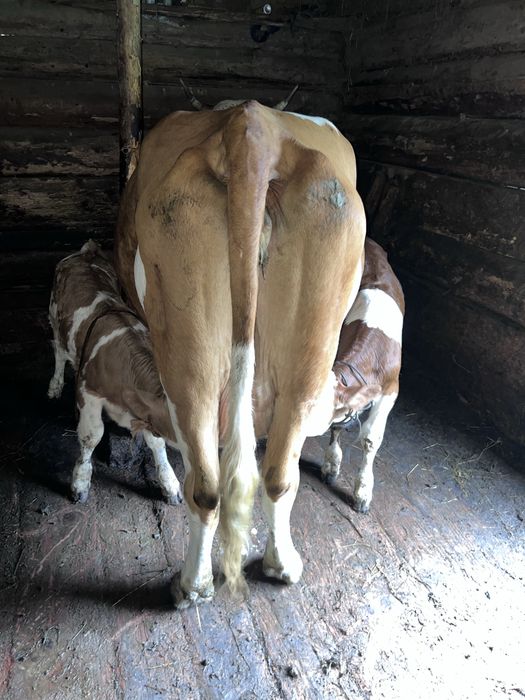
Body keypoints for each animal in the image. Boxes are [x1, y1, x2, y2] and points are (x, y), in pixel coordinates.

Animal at [47, 240, 182, 506]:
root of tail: (86, 252)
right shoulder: (89, 394)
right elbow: (91, 435)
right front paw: (80, 484)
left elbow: (156, 443)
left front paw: (169, 483)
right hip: (55, 316)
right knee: (58, 350)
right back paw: (55, 386)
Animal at [115, 100, 366, 607]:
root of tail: (252, 127)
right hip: (310, 348)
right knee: (277, 474)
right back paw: (281, 564)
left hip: (185, 349)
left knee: (206, 484)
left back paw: (192, 585)